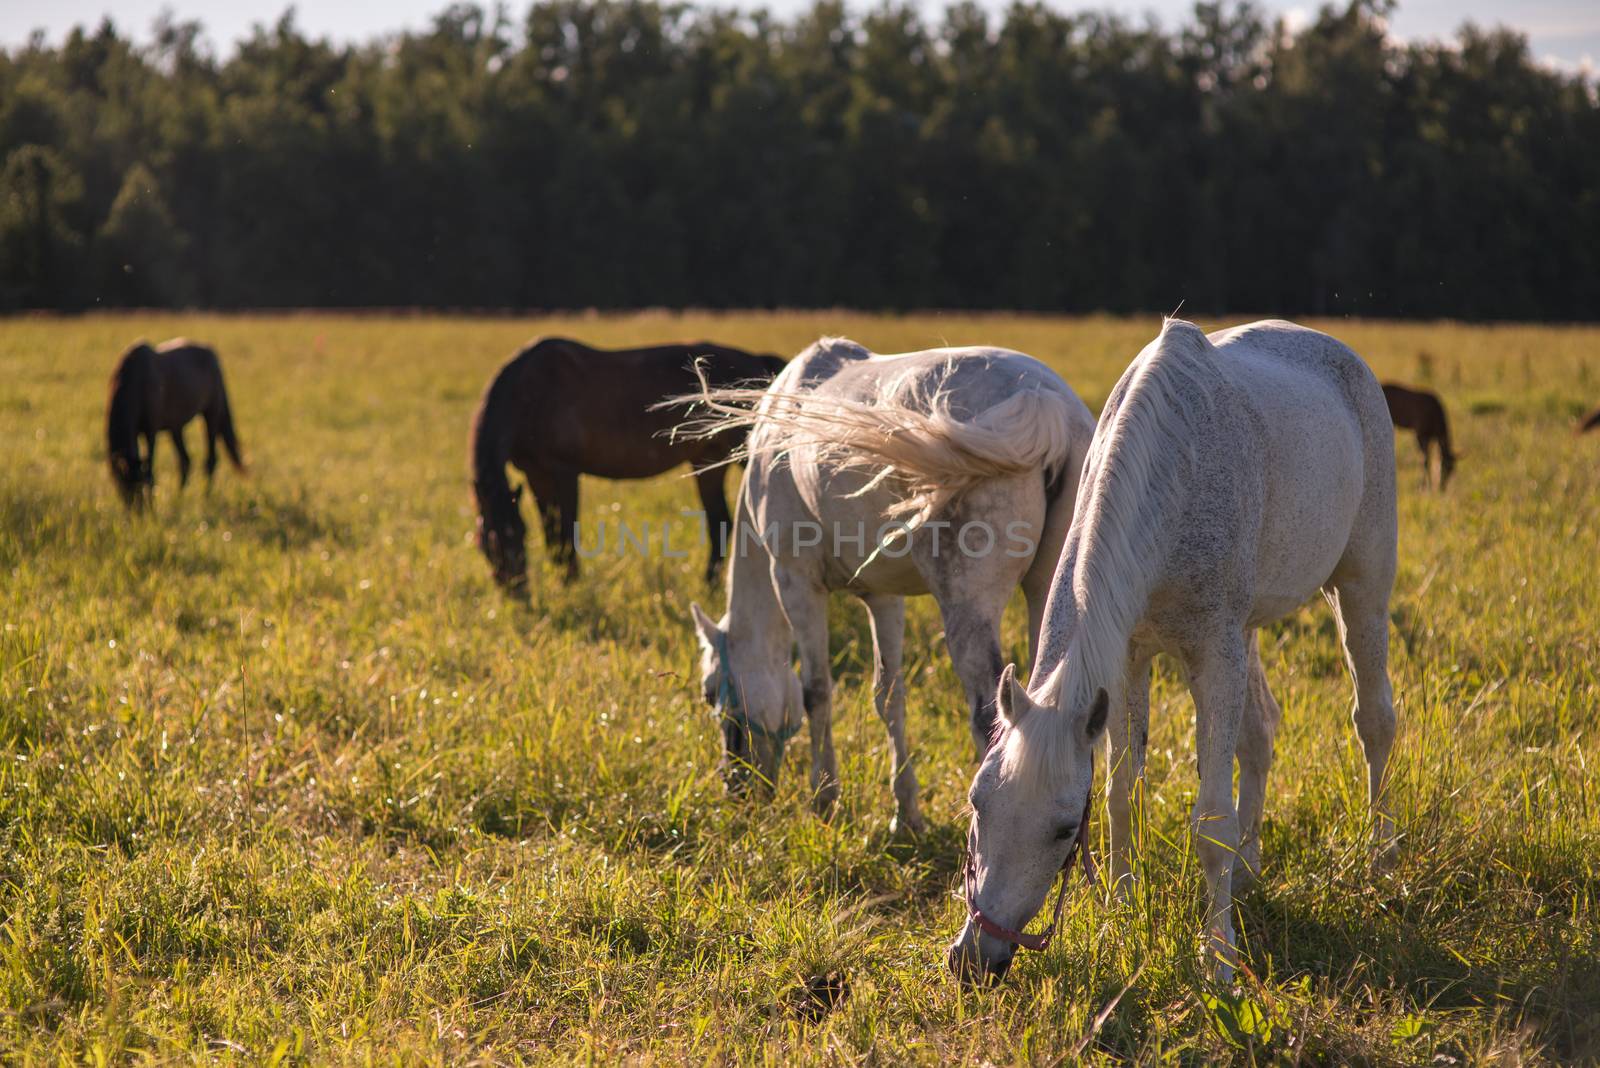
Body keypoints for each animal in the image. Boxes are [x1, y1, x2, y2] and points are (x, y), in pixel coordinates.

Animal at [106, 340, 244, 511]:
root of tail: (211, 352)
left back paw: (206, 497)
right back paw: (180, 498)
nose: (137, 511)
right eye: (122, 484)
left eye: (139, 486)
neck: (135, 380)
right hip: (176, 427)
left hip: (212, 413)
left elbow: (150, 469)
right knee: (185, 461)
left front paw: (152, 506)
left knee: (210, 459)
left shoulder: (151, 431)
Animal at [467, 337, 787, 591]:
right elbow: (551, 533)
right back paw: (709, 586)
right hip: (711, 460)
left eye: (516, 535)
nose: (516, 591)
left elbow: (566, 531)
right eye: (488, 539)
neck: (530, 394)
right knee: (719, 521)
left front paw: (572, 586)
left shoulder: (564, 471)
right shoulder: (535, 473)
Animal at [675, 340, 1100, 831]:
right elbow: (888, 696)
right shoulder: (883, 599)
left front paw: (824, 798)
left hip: (967, 608)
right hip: (1047, 594)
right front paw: (906, 812)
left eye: (709, 692)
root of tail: (1048, 406)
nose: (738, 787)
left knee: (989, 714)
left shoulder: (796, 584)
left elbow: (816, 692)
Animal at [953, 319, 1395, 984]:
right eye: (979, 803)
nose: (974, 959)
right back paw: (1250, 870)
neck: (1170, 473)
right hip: (1248, 631)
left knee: (1374, 721)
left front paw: (1219, 959)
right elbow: (1120, 795)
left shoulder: (1211, 653)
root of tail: (1346, 358)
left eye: (1062, 830)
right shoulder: (1130, 660)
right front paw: (1118, 915)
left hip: (1360, 587)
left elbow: (1210, 820)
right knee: (1259, 732)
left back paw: (1379, 863)